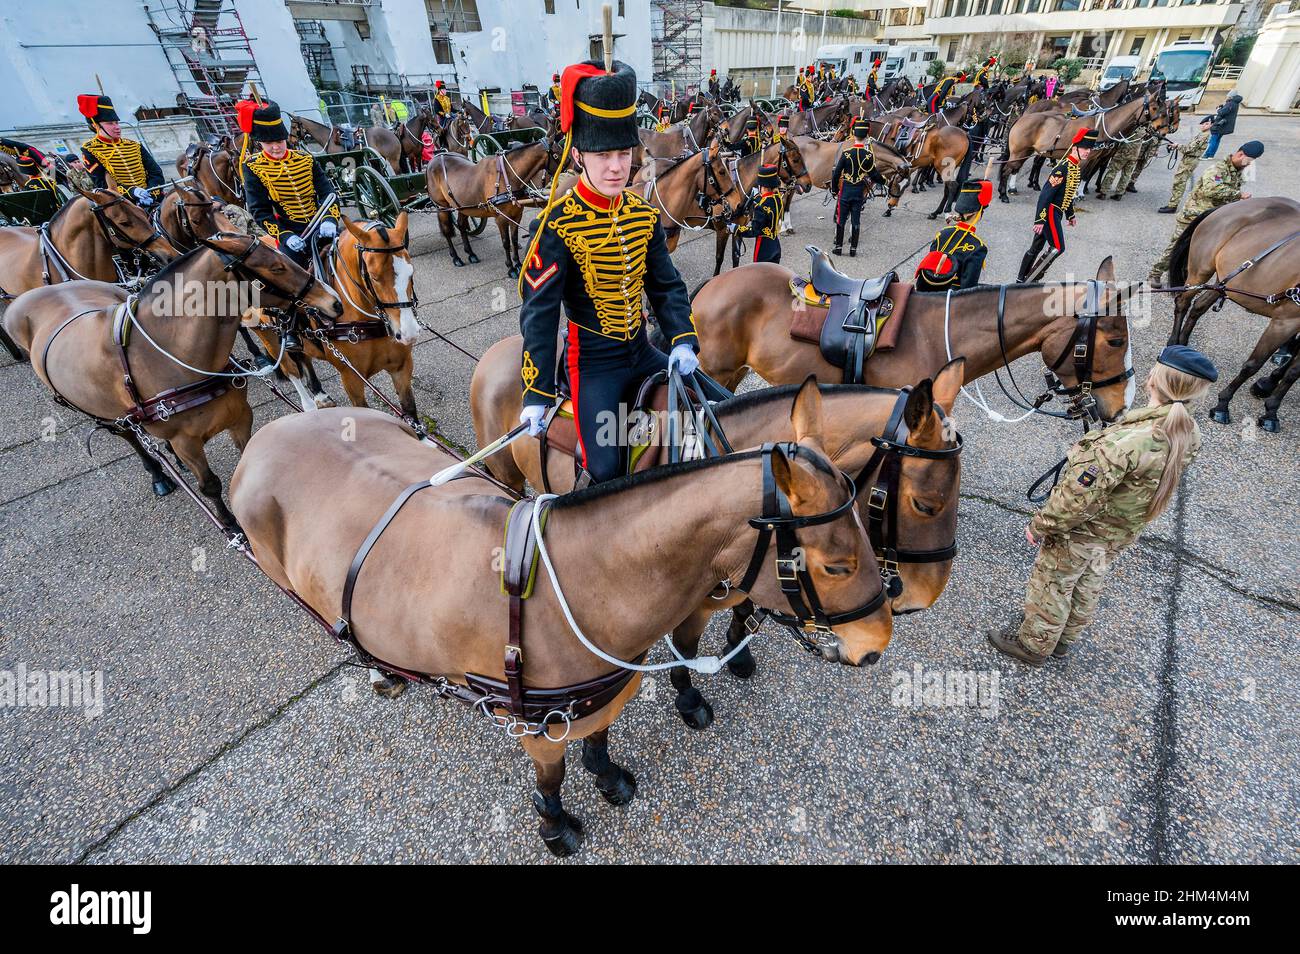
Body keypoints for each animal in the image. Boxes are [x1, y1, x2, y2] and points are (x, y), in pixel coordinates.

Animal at [5, 227, 340, 519]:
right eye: (276, 267)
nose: (333, 301)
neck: (170, 356)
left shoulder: (240, 414)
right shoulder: (186, 440)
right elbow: (210, 486)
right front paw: (234, 527)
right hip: (104, 415)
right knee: (129, 436)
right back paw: (158, 476)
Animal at [226, 376, 894, 857]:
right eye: (835, 564)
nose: (877, 641)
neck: (575, 580)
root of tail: (270, 433)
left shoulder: (609, 689)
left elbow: (599, 737)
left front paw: (607, 774)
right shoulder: (534, 727)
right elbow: (551, 781)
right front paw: (555, 826)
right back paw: (375, 667)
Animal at [1164, 196, 1300, 431]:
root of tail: (1228, 206)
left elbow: (1293, 372)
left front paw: (1271, 411)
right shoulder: (1285, 321)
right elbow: (1253, 365)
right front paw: (1223, 403)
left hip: (1225, 282)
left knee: (1198, 307)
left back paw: (1183, 345)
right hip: (1201, 270)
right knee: (1183, 302)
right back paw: (1174, 342)